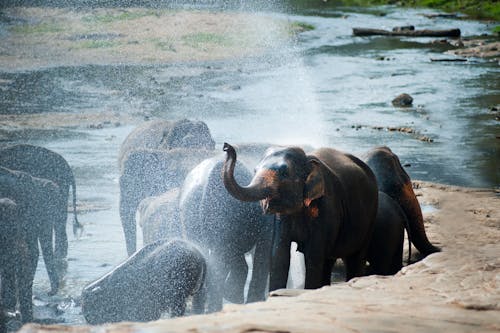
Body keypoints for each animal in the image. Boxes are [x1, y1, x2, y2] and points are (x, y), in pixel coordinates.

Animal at [221, 141, 376, 290]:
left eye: (284, 173)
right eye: (254, 170)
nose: (226, 146)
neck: (308, 158)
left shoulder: (326, 208)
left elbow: (313, 257)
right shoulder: (282, 218)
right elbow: (279, 255)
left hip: (370, 217)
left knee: (355, 258)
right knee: (328, 260)